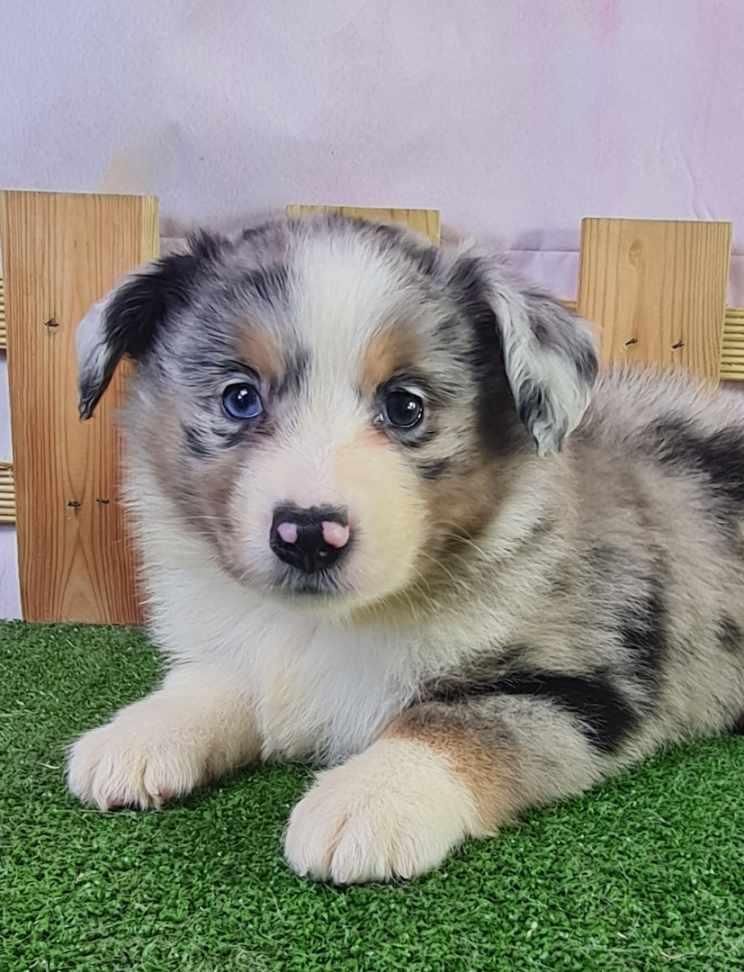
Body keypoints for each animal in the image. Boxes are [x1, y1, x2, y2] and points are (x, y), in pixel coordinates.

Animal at [67, 214, 744, 884]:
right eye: (239, 397)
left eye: (405, 406)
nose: (307, 534)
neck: (329, 624)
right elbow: (223, 680)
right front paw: (143, 735)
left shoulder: (588, 683)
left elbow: (456, 721)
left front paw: (370, 798)